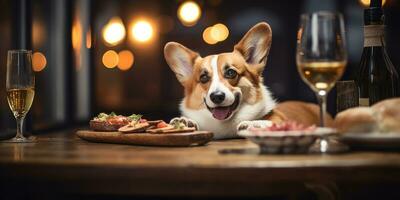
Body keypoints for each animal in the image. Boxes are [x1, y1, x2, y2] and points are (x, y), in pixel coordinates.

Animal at [162, 21, 332, 138]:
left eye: (231, 73)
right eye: (203, 78)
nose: (217, 97)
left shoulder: (280, 119)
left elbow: (272, 121)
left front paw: (252, 124)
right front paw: (185, 122)